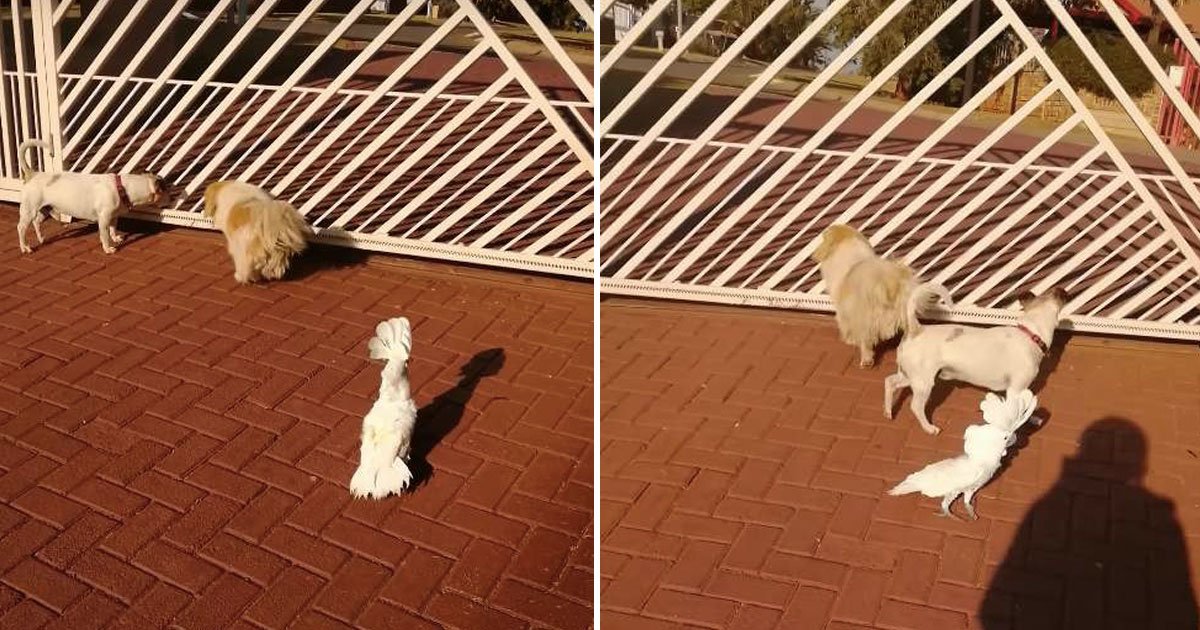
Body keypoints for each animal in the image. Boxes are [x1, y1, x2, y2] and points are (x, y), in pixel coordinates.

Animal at [16, 139, 165, 253]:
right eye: (167, 190)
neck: (122, 187)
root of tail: (33, 174)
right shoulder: (104, 219)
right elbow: (104, 235)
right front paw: (108, 248)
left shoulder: (113, 217)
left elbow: (113, 229)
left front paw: (115, 238)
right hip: (29, 210)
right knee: (21, 228)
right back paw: (25, 247)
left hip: (45, 209)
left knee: (36, 222)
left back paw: (41, 238)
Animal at [811, 223, 950, 364]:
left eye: (823, 238)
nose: (813, 254)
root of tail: (888, 283)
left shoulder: (844, 310)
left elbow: (845, 325)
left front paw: (849, 340)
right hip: (906, 313)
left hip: (866, 319)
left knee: (865, 342)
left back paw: (866, 360)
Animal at [883, 289, 1070, 432]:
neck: (1031, 334)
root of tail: (916, 330)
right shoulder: (1016, 389)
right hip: (924, 383)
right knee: (915, 406)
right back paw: (929, 428)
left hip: (910, 376)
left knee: (889, 382)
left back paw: (888, 412)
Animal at [892, 388, 1041, 520]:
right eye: (1005, 437)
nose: (1014, 438)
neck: (985, 459)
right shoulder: (956, 489)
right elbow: (945, 504)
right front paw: (954, 516)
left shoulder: (972, 488)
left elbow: (966, 500)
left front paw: (971, 513)